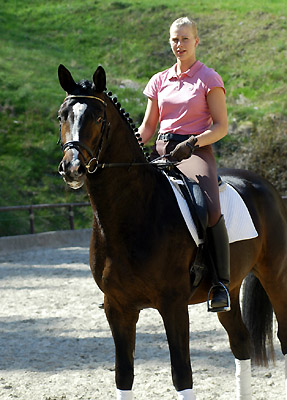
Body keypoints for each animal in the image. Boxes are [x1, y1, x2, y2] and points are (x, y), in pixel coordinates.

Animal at [56, 64, 287, 398]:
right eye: (62, 116)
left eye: (98, 118)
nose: (72, 167)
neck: (134, 214)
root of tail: (265, 186)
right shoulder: (117, 308)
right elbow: (123, 375)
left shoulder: (173, 306)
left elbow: (182, 374)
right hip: (230, 288)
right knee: (240, 342)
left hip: (275, 275)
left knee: (283, 336)